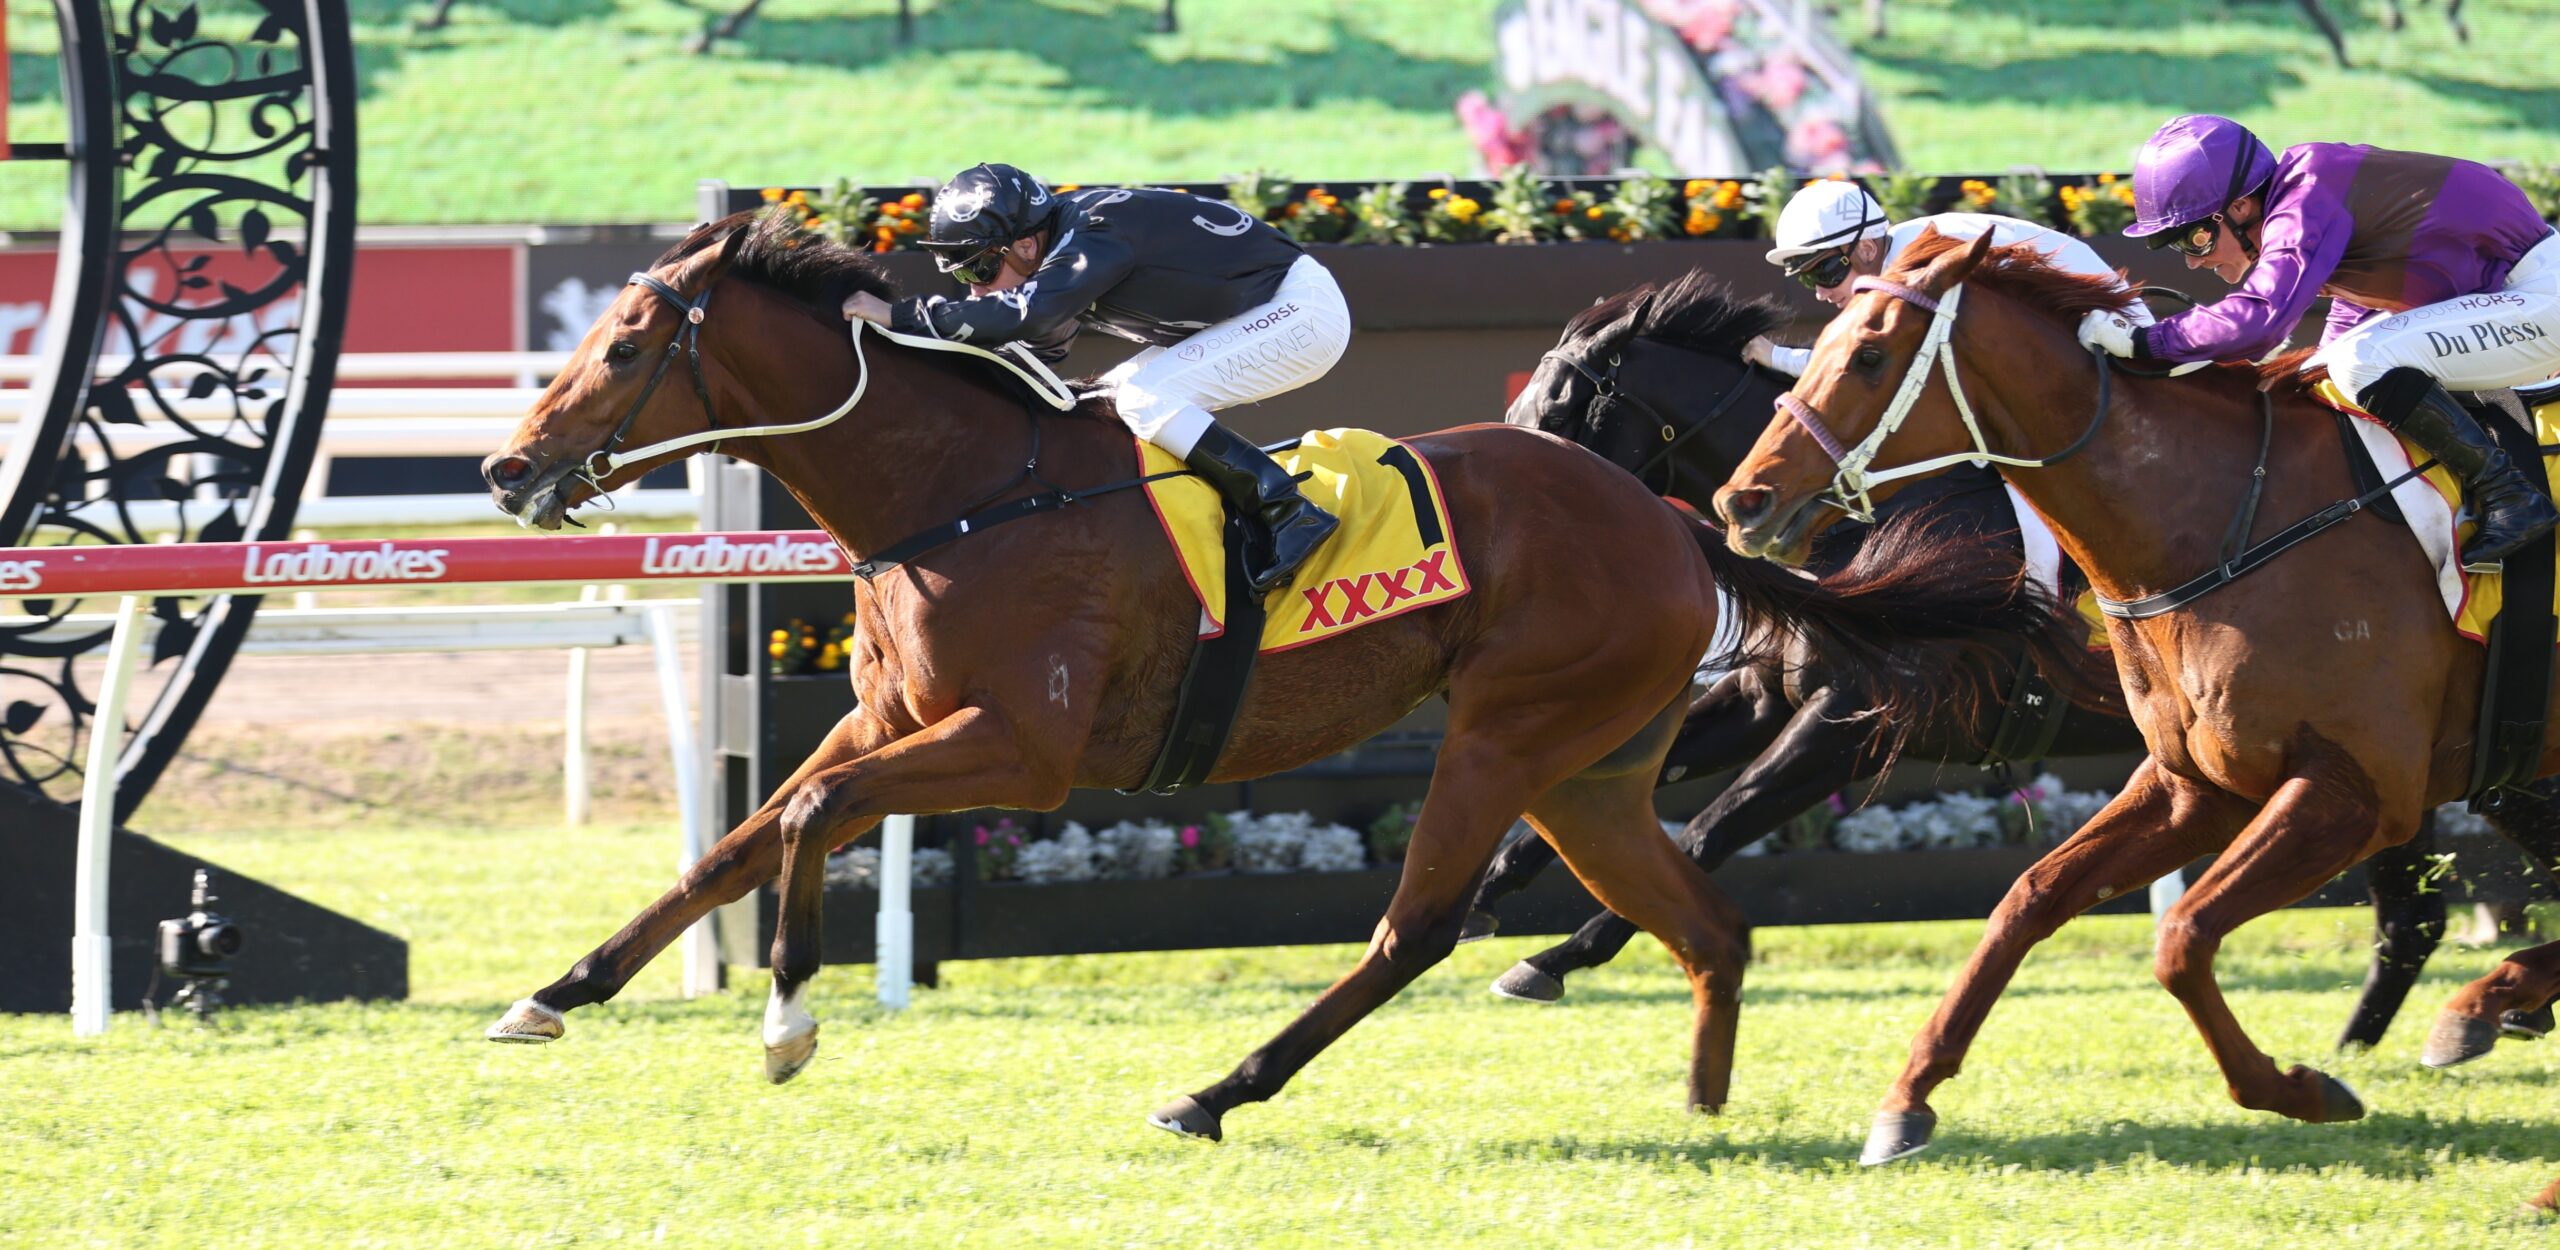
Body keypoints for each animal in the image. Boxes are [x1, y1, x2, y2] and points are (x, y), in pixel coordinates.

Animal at [473, 207, 2084, 1142]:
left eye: (622, 341)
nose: (504, 469)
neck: (969, 488)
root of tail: (1674, 523)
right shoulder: (889, 716)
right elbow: (736, 841)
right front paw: (555, 989)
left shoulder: (1021, 748)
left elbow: (806, 824)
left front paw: (790, 1023)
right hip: (1594, 767)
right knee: (1702, 916)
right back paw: (1700, 1102)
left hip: (1506, 737)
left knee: (1417, 927)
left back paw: (1215, 1090)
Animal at [1474, 268, 2560, 1051]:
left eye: (1560, 400)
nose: (1497, 493)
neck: (1870, 520)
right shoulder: (1762, 696)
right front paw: (1490, 886)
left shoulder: (1849, 724)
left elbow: (1708, 827)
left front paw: (1558, 953)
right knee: (2417, 905)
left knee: (2418, 905)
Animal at [1711, 226, 2560, 1201]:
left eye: (1868, 355)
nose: (1744, 501)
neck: (2226, 525)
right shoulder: (2196, 785)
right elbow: (2029, 897)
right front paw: (1906, 1100)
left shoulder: (2357, 791)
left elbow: (2182, 937)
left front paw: (2299, 1088)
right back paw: (2497, 1000)